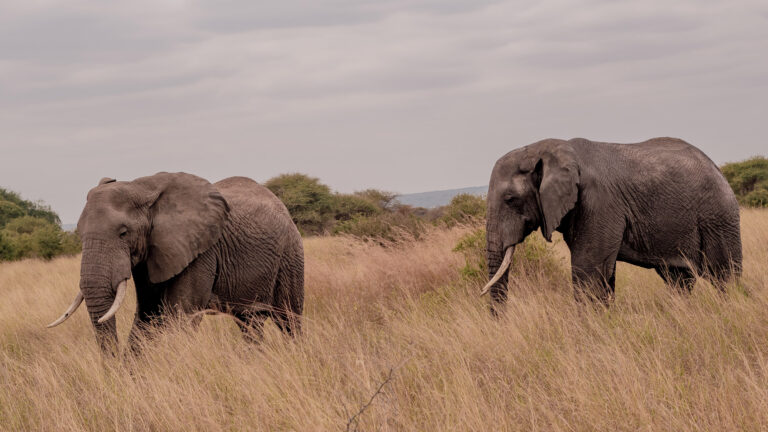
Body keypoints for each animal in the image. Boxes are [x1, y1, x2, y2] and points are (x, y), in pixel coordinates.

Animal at [48, 172, 304, 354]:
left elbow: (179, 317)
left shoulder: (200, 251)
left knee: (289, 319)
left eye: (123, 233)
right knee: (250, 322)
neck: (143, 188)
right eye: (79, 234)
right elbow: (147, 316)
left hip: (291, 255)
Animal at [481, 137, 742, 311]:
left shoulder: (598, 203)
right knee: (679, 279)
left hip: (718, 217)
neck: (542, 149)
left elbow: (588, 273)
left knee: (723, 275)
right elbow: (604, 275)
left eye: (510, 199)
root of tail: (718, 169)